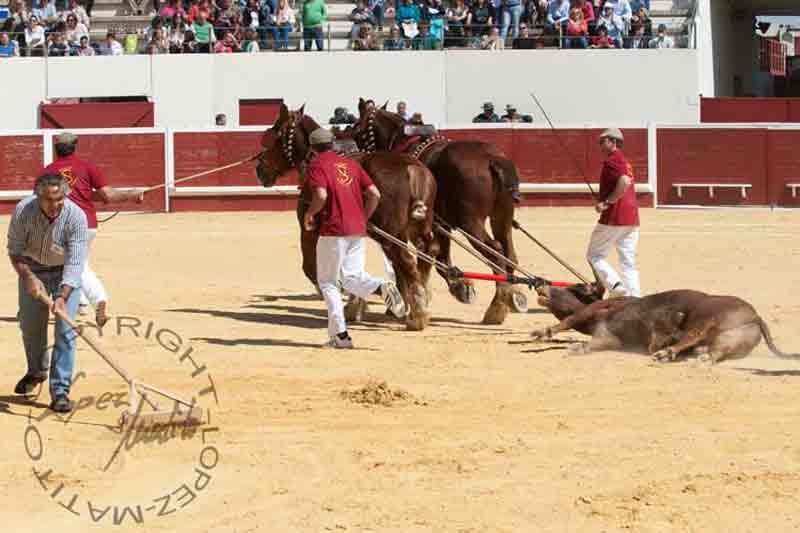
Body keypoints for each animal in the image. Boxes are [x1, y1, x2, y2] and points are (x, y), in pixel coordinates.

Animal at [255, 103, 438, 328]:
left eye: (275, 136)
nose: (260, 169)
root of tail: (414, 169)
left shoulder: (310, 231)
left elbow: (312, 267)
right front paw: (356, 304)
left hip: (393, 235)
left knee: (407, 262)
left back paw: (417, 315)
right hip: (415, 230)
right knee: (424, 256)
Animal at [348, 98, 524, 326]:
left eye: (356, 131)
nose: (357, 158)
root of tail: (492, 159)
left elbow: (423, 258)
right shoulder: (439, 224)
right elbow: (437, 256)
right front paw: (458, 285)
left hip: (471, 223)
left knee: (495, 251)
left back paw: (496, 308)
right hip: (501, 217)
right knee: (508, 252)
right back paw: (510, 297)